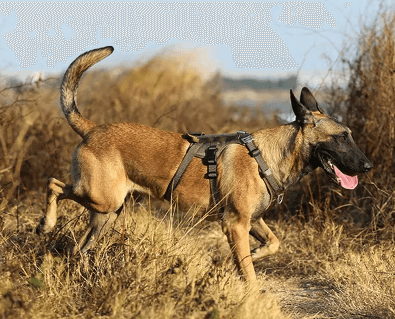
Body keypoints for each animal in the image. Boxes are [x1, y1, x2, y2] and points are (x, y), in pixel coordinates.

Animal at [35, 46, 372, 284]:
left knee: (78, 248)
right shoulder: (236, 223)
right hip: (102, 198)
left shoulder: (252, 221)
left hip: (107, 213)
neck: (267, 156)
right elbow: (249, 274)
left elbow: (271, 244)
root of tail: (92, 129)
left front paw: (240, 258)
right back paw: (46, 224)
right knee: (54, 184)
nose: (368, 166)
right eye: (342, 137)